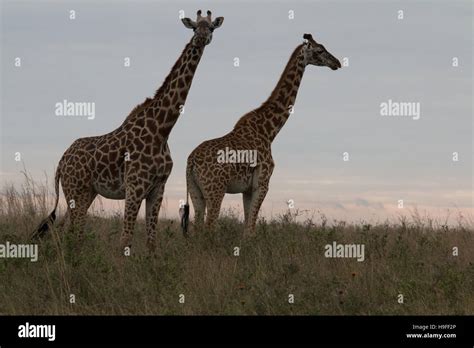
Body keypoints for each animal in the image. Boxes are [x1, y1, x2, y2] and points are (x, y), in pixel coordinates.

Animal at [33, 9, 224, 251]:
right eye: (194, 27)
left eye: (211, 27)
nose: (201, 38)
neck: (162, 129)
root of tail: (61, 161)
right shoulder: (134, 187)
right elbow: (125, 239)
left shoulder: (158, 188)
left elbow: (151, 241)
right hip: (76, 190)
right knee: (73, 230)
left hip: (86, 192)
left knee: (71, 230)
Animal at [181, 33, 340, 237]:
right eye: (319, 50)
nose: (337, 63)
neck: (269, 131)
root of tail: (191, 162)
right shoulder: (263, 183)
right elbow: (251, 229)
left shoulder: (247, 189)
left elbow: (246, 226)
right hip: (215, 189)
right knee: (209, 226)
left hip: (195, 191)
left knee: (197, 226)